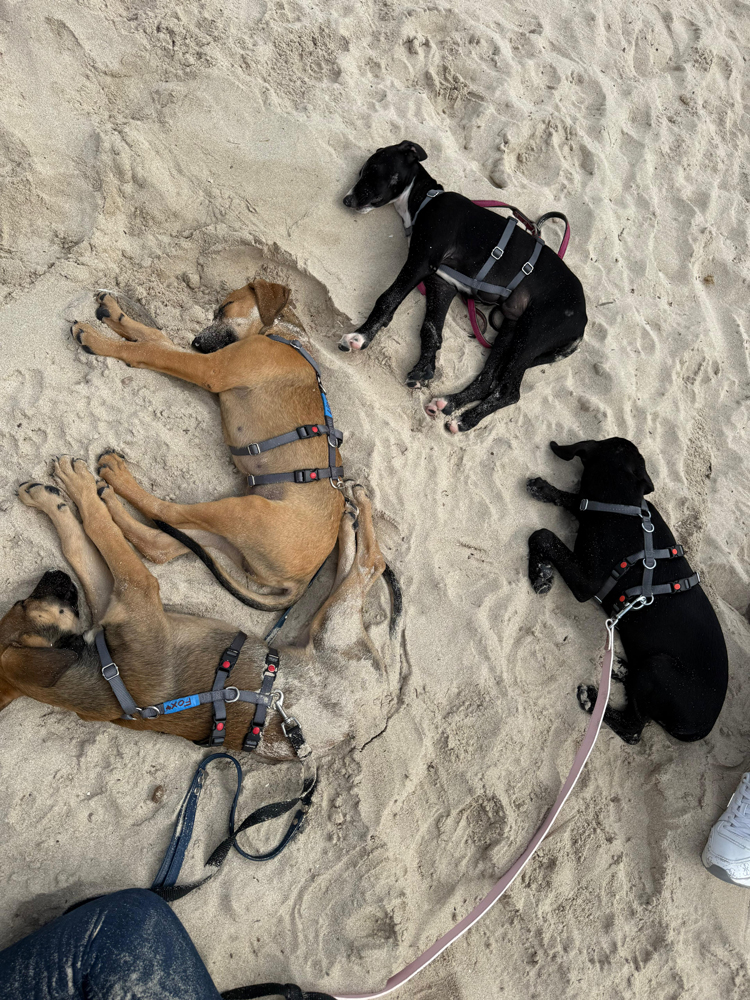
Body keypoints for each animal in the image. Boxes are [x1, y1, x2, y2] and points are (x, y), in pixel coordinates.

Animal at [1, 459, 388, 758]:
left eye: (20, 602)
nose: (52, 574)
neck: (105, 673)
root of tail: (375, 707)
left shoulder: (117, 596)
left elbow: (82, 540)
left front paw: (53, 496)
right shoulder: (135, 589)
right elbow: (97, 528)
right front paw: (75, 490)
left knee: (358, 565)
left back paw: (350, 513)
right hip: (332, 627)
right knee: (370, 564)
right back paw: (354, 510)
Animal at [70, 281, 346, 611]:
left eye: (225, 308)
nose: (196, 342)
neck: (284, 334)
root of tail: (303, 582)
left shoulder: (209, 369)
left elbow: (147, 349)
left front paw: (96, 339)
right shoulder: (208, 360)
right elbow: (154, 337)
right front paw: (113, 312)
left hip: (243, 511)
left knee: (167, 511)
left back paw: (118, 477)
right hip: (227, 537)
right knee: (158, 545)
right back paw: (109, 499)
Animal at [340, 140, 587, 433]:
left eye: (372, 169)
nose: (346, 200)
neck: (426, 200)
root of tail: (582, 320)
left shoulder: (421, 261)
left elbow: (388, 298)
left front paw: (360, 336)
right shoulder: (442, 283)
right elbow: (431, 329)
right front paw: (424, 370)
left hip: (532, 334)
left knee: (508, 391)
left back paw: (465, 420)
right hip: (511, 330)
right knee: (488, 379)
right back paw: (450, 403)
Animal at [526, 437, 728, 744]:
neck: (624, 505)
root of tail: (703, 728)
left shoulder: (588, 583)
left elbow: (543, 535)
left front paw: (538, 572)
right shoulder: (591, 508)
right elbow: (576, 501)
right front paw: (544, 488)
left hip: (657, 669)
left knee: (633, 730)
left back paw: (593, 699)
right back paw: (620, 669)